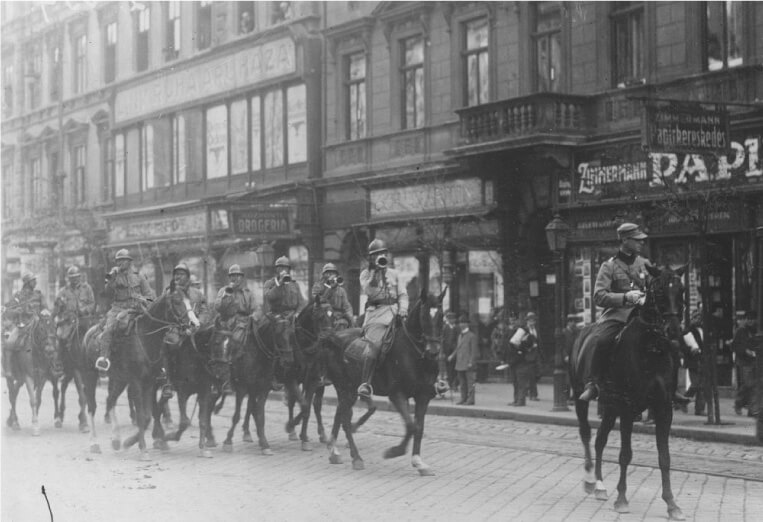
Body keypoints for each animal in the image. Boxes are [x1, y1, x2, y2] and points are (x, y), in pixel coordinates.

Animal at [320, 286, 444, 474]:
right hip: (345, 388)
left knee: (340, 416)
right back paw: (356, 457)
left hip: (350, 390)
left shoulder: (423, 396)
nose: (434, 351)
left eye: (442, 316)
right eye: (424, 316)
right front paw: (394, 451)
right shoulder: (397, 395)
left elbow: (419, 427)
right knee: (345, 421)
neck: (415, 354)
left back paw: (334, 452)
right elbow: (411, 426)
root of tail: (334, 336)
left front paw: (418, 461)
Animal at [572, 266, 688, 516]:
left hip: (609, 406)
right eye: (659, 290)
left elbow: (664, 457)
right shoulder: (627, 407)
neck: (651, 348)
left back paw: (600, 486)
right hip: (580, 398)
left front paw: (672, 504)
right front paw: (622, 499)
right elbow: (625, 454)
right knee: (586, 433)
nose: (673, 330)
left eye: (681, 290)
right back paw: (590, 480)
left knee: (600, 440)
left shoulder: (663, 408)